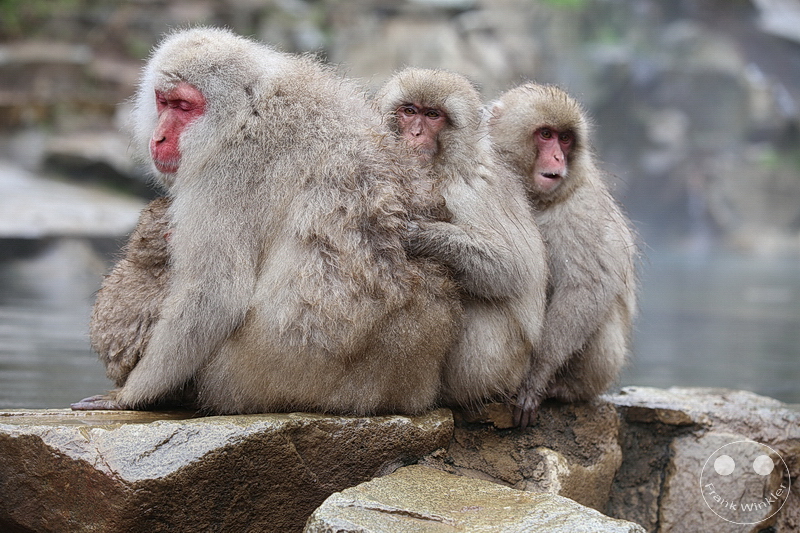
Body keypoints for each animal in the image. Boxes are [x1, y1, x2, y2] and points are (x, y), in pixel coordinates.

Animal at [72, 27, 462, 415]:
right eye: (163, 101)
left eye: (184, 106)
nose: (160, 137)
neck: (249, 110)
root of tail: (398, 390)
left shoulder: (229, 166)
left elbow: (215, 291)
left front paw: (129, 395)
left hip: (251, 379)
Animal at [375, 68, 548, 408]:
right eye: (409, 111)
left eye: (433, 115)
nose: (415, 133)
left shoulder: (469, 190)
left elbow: (511, 268)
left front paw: (419, 233)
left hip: (497, 368)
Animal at [488, 83, 638, 428]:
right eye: (546, 134)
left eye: (566, 139)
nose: (558, 157)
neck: (538, 199)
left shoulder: (582, 211)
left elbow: (585, 289)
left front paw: (534, 378)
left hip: (602, 368)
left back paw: (564, 388)